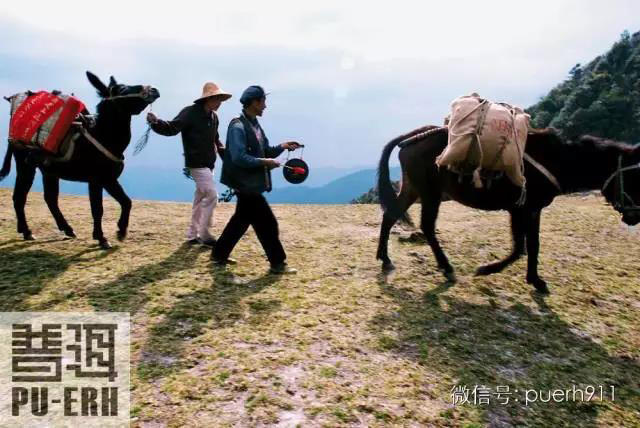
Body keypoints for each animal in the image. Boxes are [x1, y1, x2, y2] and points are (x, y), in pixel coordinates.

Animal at [376, 126, 640, 294]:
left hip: (414, 189)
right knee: (427, 226)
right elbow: (523, 247)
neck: (559, 160)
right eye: (636, 178)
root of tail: (411, 137)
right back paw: (446, 267)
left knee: (390, 215)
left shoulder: (527, 210)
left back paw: (386, 259)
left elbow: (527, 246)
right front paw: (489, 270)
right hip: (430, 193)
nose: (634, 217)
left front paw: (532, 279)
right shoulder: (524, 209)